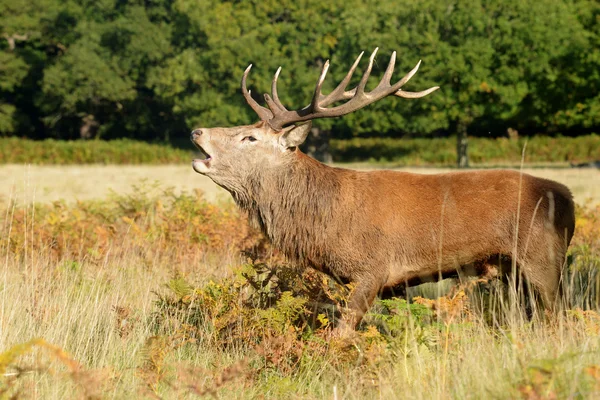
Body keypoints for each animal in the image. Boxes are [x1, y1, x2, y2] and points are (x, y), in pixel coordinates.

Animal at [192, 48, 576, 332]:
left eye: (250, 137)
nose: (197, 131)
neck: (322, 222)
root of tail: (568, 199)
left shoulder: (373, 268)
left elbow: (343, 333)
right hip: (513, 271)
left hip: (543, 259)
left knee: (559, 318)